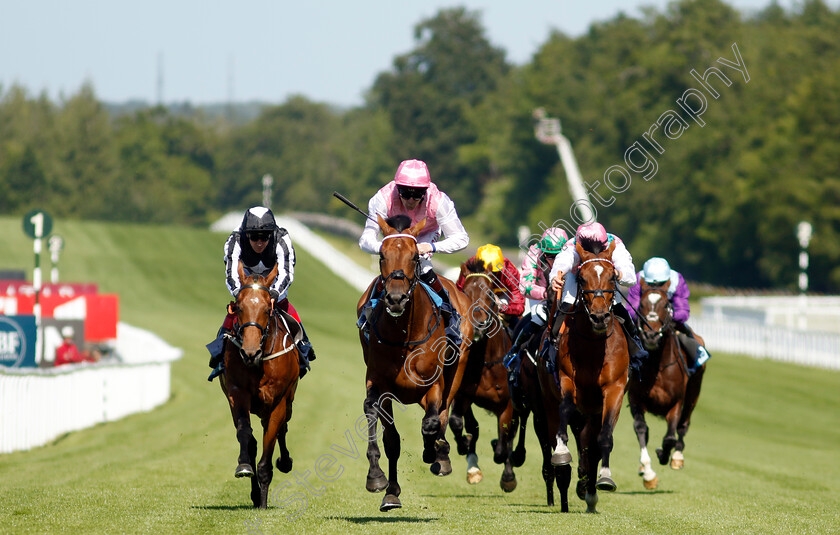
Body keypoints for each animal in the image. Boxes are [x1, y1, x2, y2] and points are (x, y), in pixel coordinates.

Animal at [218, 264, 300, 510]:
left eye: (266, 309)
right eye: (239, 308)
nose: (249, 353)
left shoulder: (278, 402)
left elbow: (269, 445)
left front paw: (263, 500)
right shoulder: (236, 394)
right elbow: (246, 434)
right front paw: (245, 467)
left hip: (287, 401)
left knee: (282, 428)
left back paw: (284, 462)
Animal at [354, 216, 472, 512]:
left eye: (414, 256)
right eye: (382, 256)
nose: (396, 299)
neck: (404, 336)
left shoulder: (433, 384)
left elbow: (431, 423)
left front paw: (434, 452)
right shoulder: (379, 384)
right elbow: (388, 435)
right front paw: (381, 483)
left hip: (458, 366)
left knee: (442, 414)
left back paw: (441, 455)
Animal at [446, 260, 520, 494]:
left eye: (489, 292)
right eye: (465, 292)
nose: (477, 324)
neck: (486, 363)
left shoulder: (509, 404)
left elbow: (504, 441)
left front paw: (507, 474)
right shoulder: (463, 395)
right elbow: (458, 423)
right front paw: (465, 448)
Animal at [540, 240, 628, 516]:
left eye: (612, 277)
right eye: (581, 278)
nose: (599, 317)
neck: (593, 345)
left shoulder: (614, 388)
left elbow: (604, 439)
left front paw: (604, 479)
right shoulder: (567, 379)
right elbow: (566, 409)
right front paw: (561, 452)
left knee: (591, 446)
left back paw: (589, 493)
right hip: (549, 404)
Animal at [632, 280, 704, 490]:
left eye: (665, 305)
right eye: (641, 305)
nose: (651, 336)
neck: (657, 365)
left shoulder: (676, 402)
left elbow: (670, 437)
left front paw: (663, 454)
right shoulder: (635, 398)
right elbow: (641, 428)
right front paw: (648, 473)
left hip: (693, 395)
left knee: (683, 426)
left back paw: (677, 457)